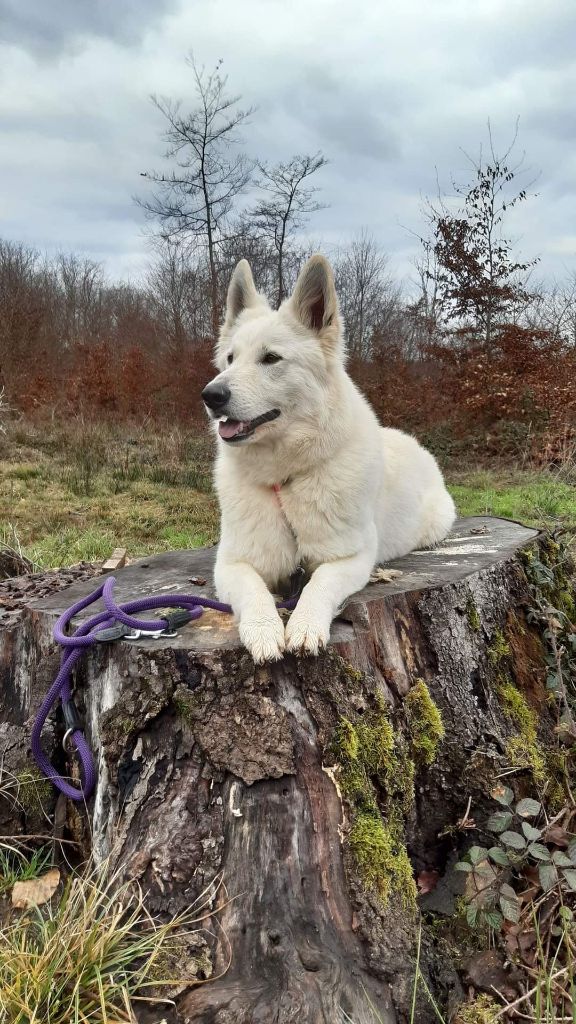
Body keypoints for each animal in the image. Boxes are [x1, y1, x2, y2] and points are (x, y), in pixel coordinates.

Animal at [201, 256, 453, 663]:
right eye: (230, 359)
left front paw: (304, 626)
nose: (211, 395)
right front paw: (263, 629)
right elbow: (253, 589)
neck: (285, 477)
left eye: (270, 358)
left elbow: (319, 582)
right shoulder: (232, 563)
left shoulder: (351, 557)